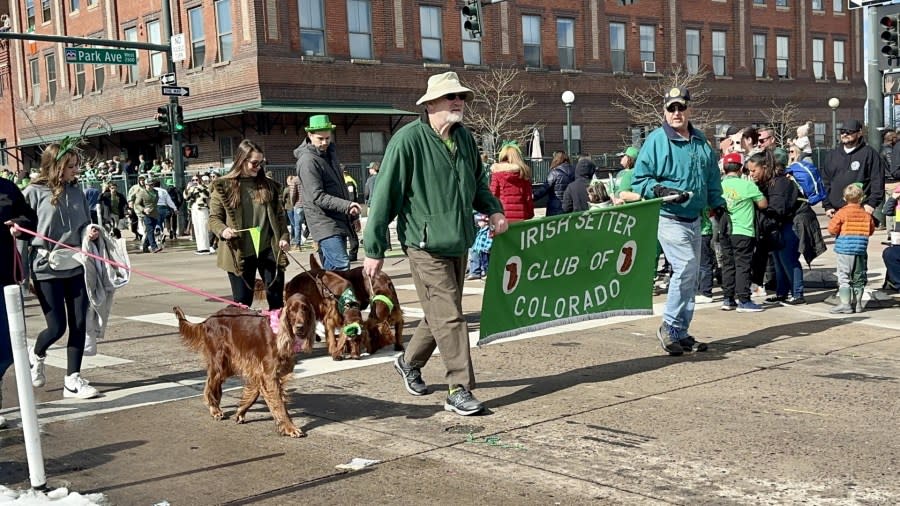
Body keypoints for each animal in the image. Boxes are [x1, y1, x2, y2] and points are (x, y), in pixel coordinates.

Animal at [172, 294, 316, 436]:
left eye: (305, 309)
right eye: (291, 310)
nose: (300, 327)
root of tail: (208, 320)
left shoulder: (260, 371)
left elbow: (254, 393)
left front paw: (240, 411)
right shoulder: (269, 374)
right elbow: (279, 403)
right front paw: (290, 427)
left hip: (227, 365)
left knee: (212, 384)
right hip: (220, 362)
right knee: (210, 384)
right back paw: (215, 409)